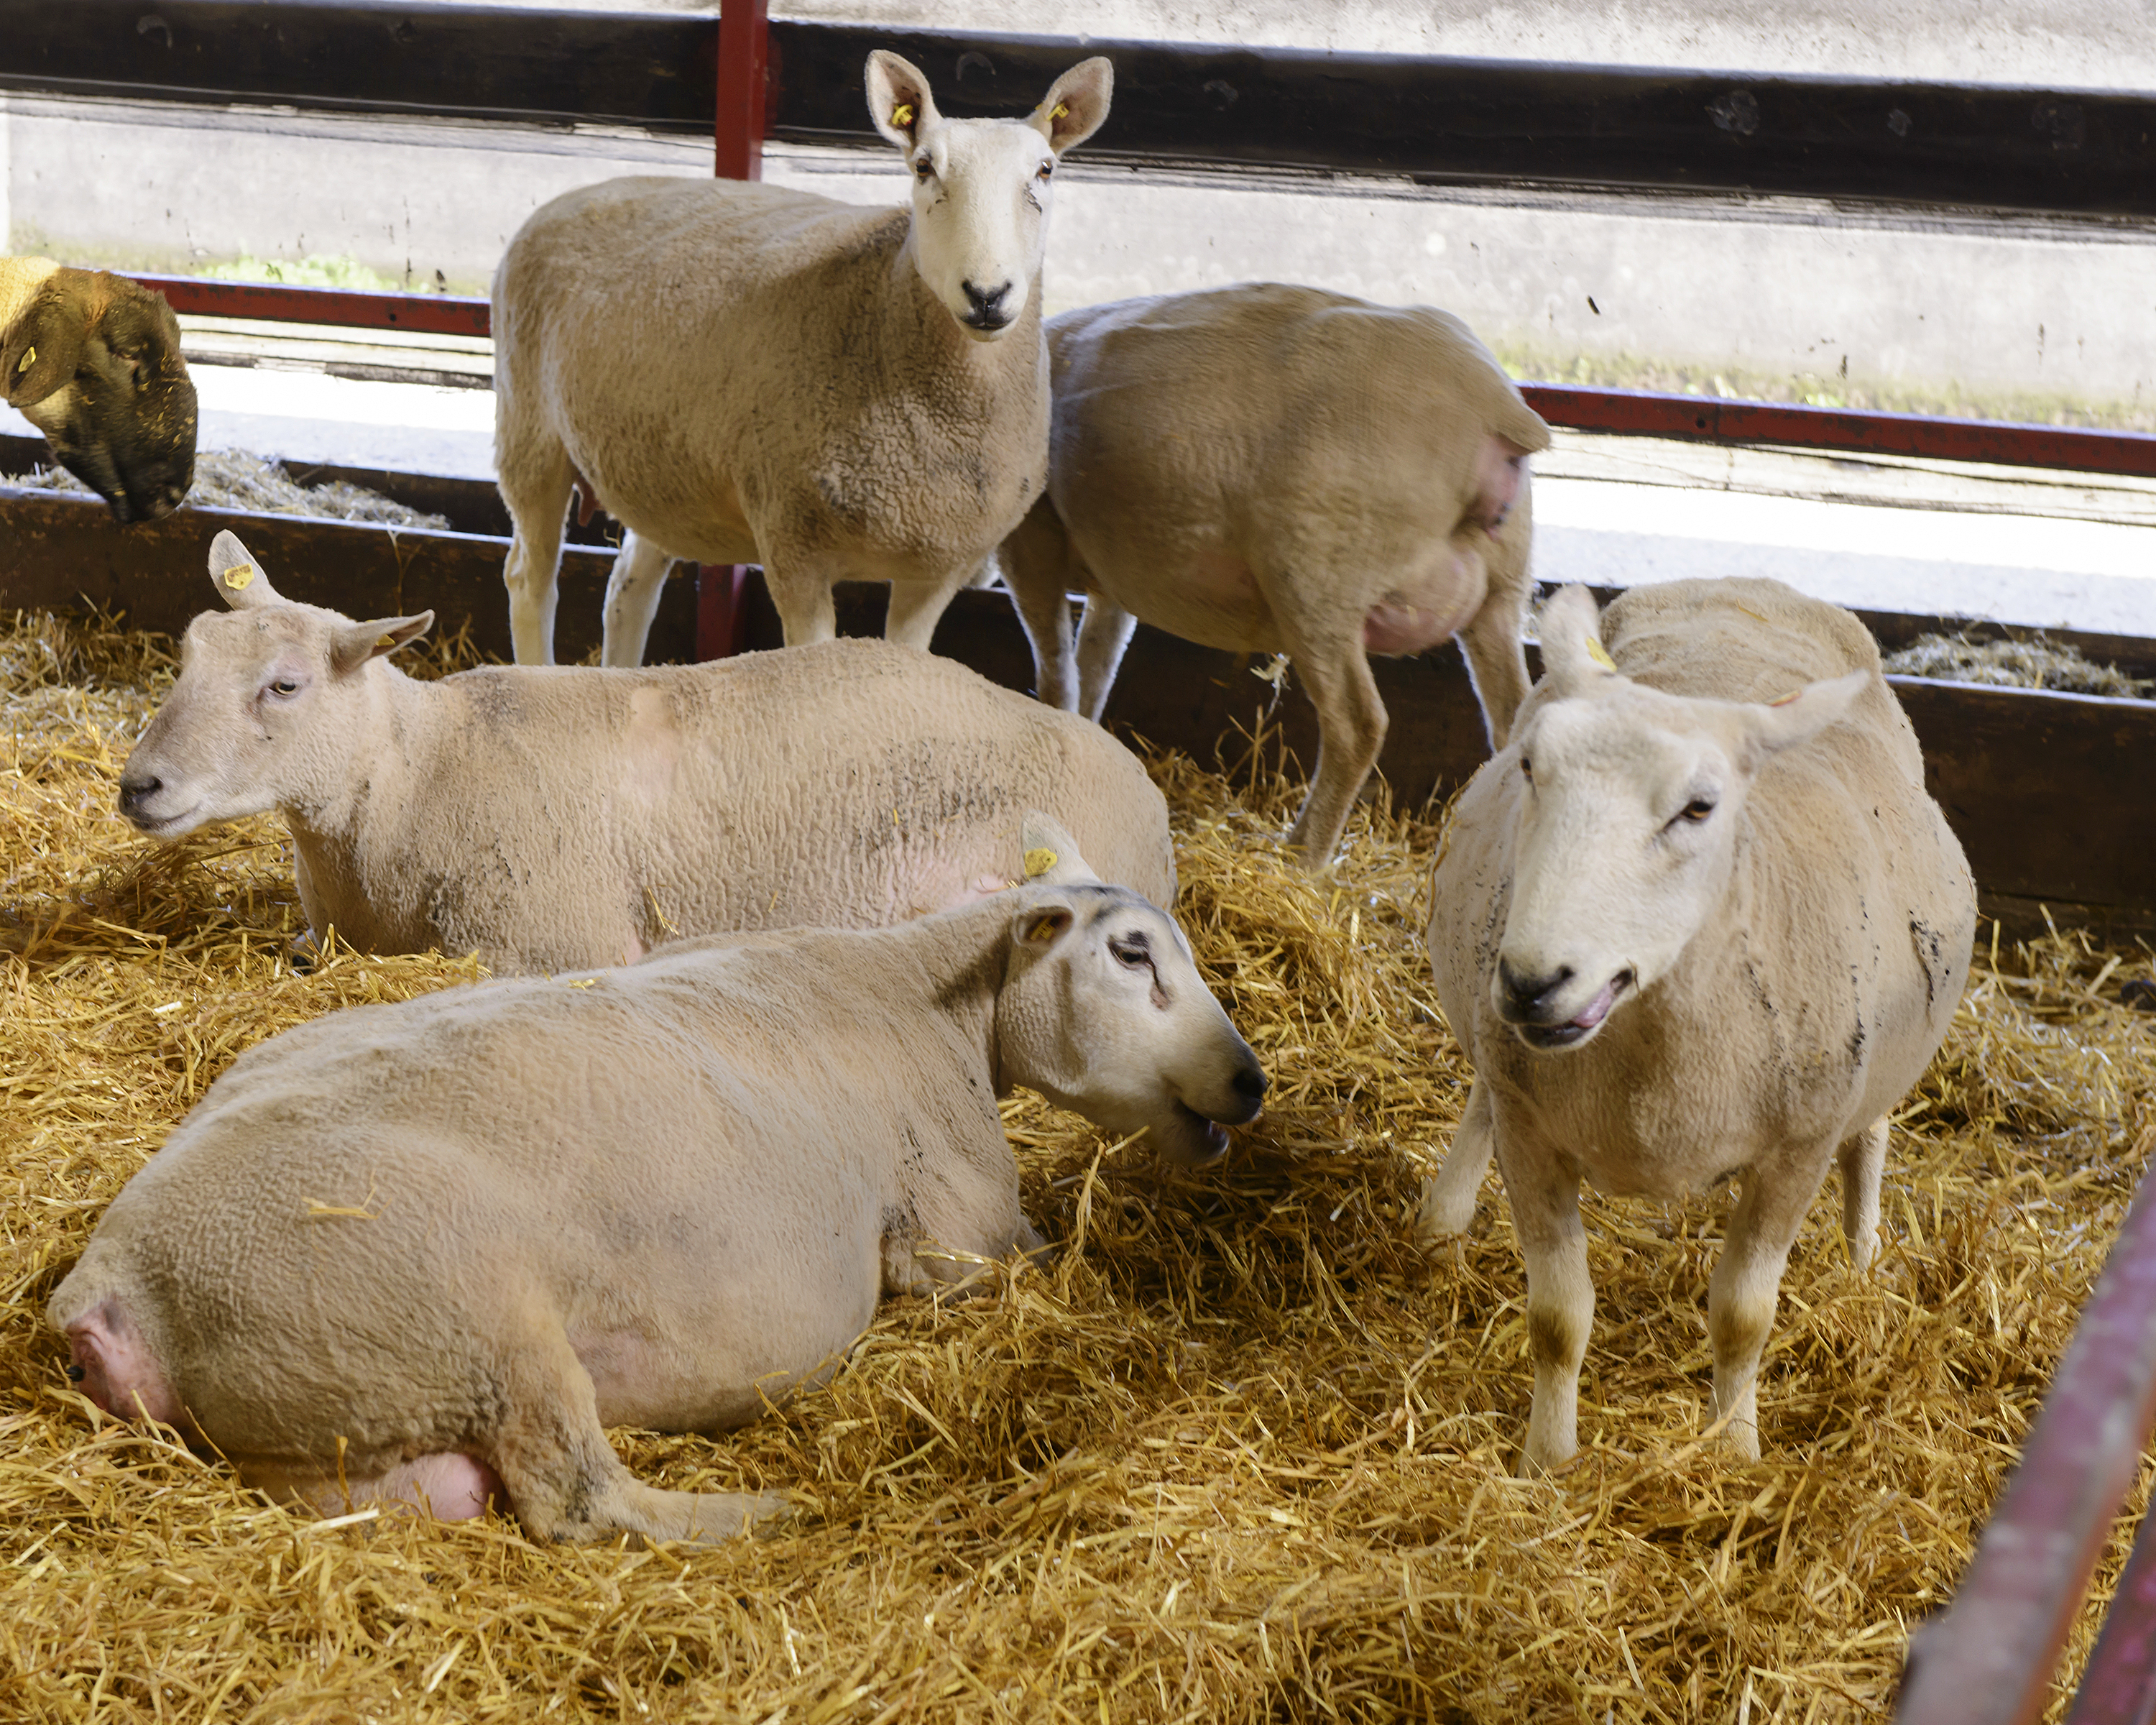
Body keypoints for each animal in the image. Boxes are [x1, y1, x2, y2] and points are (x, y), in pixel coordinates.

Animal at [50, 826, 1269, 1544]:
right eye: (1130, 952)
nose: (1253, 1081)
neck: (933, 1000)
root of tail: (116, 1283)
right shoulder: (958, 1230)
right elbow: (1027, 1262)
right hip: (464, 1313)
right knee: (580, 1505)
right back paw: (764, 1513)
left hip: (330, 1416)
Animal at [116, 531, 1176, 973]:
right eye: (187, 653)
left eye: (285, 686)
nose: (139, 786)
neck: (417, 775)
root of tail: (1141, 782)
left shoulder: (556, 940)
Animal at [491, 50, 1113, 669]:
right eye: (923, 168)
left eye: (1045, 171)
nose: (987, 294)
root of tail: (573, 195)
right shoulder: (794, 540)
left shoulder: (938, 568)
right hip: (530, 433)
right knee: (529, 577)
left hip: (660, 465)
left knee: (627, 587)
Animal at [996, 284, 1550, 866]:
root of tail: (1492, 406)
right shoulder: (1116, 575)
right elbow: (1097, 666)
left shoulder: (1030, 540)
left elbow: (1058, 673)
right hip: (1500, 591)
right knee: (1514, 716)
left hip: (1319, 578)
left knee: (1358, 725)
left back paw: (1303, 855)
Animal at [1417, 577, 1974, 1471]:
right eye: (1530, 766)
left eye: (1700, 808)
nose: (1535, 982)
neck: (1654, 1048)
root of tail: (1740, 584)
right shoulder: (1530, 1130)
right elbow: (1557, 1319)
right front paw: (1547, 1463)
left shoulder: (1796, 1150)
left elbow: (1744, 1318)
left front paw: (1734, 1452)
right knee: (1480, 1090)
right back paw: (1442, 1222)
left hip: (1877, 1054)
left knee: (1872, 1137)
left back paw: (1862, 1264)